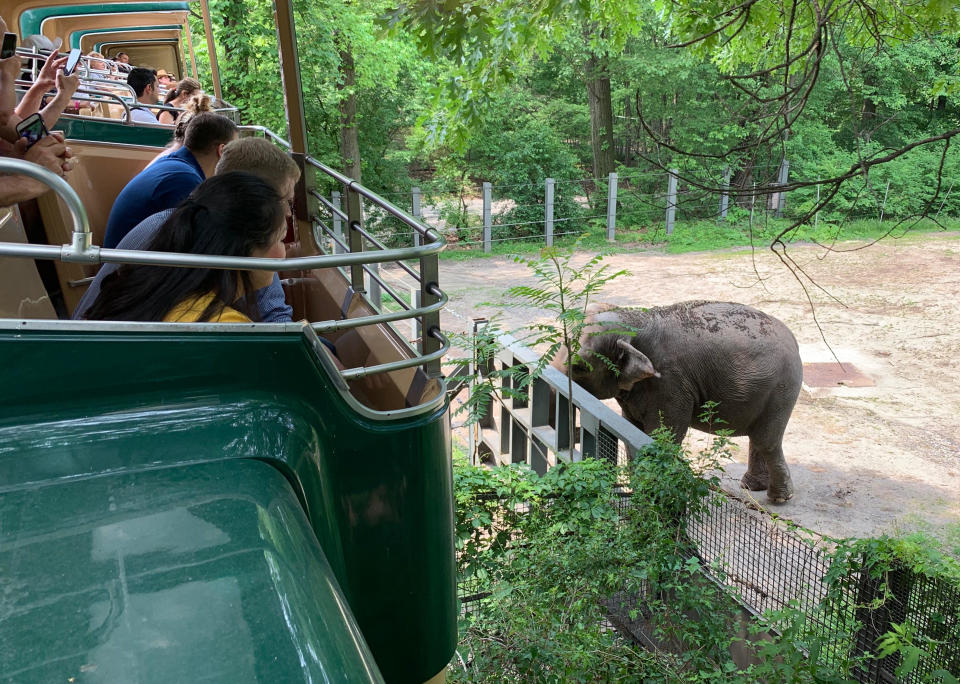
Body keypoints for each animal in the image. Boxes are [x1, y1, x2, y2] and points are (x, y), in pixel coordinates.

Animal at [556, 300, 804, 502]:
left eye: (579, 367)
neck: (634, 319)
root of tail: (793, 338)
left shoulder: (670, 382)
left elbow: (663, 435)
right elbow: (630, 428)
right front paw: (639, 490)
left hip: (782, 387)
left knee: (766, 440)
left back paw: (778, 498)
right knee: (758, 436)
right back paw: (752, 487)